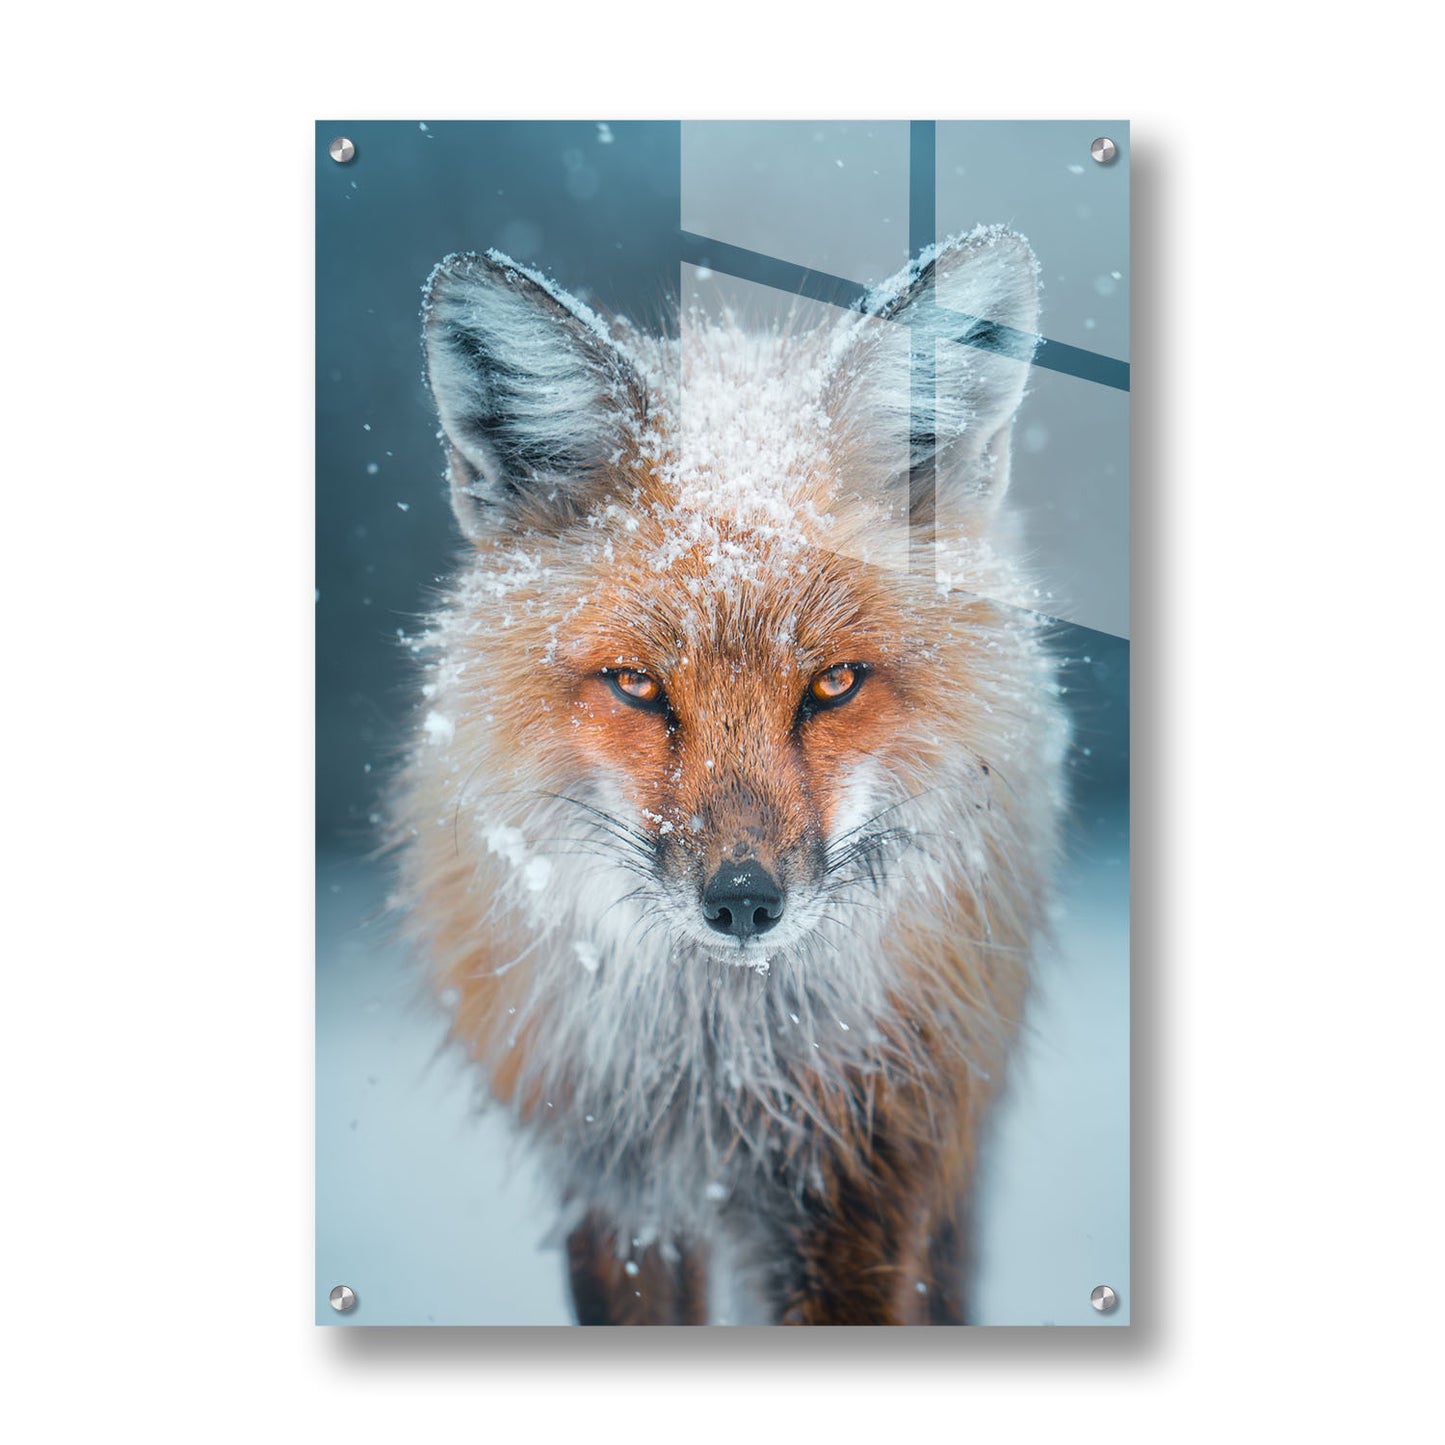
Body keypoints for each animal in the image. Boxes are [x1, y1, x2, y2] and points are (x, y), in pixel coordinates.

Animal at [392, 227, 1067, 1325]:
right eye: (636, 685)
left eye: (833, 682)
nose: (743, 900)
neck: (720, 1078)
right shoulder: (615, 1194)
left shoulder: (864, 1182)